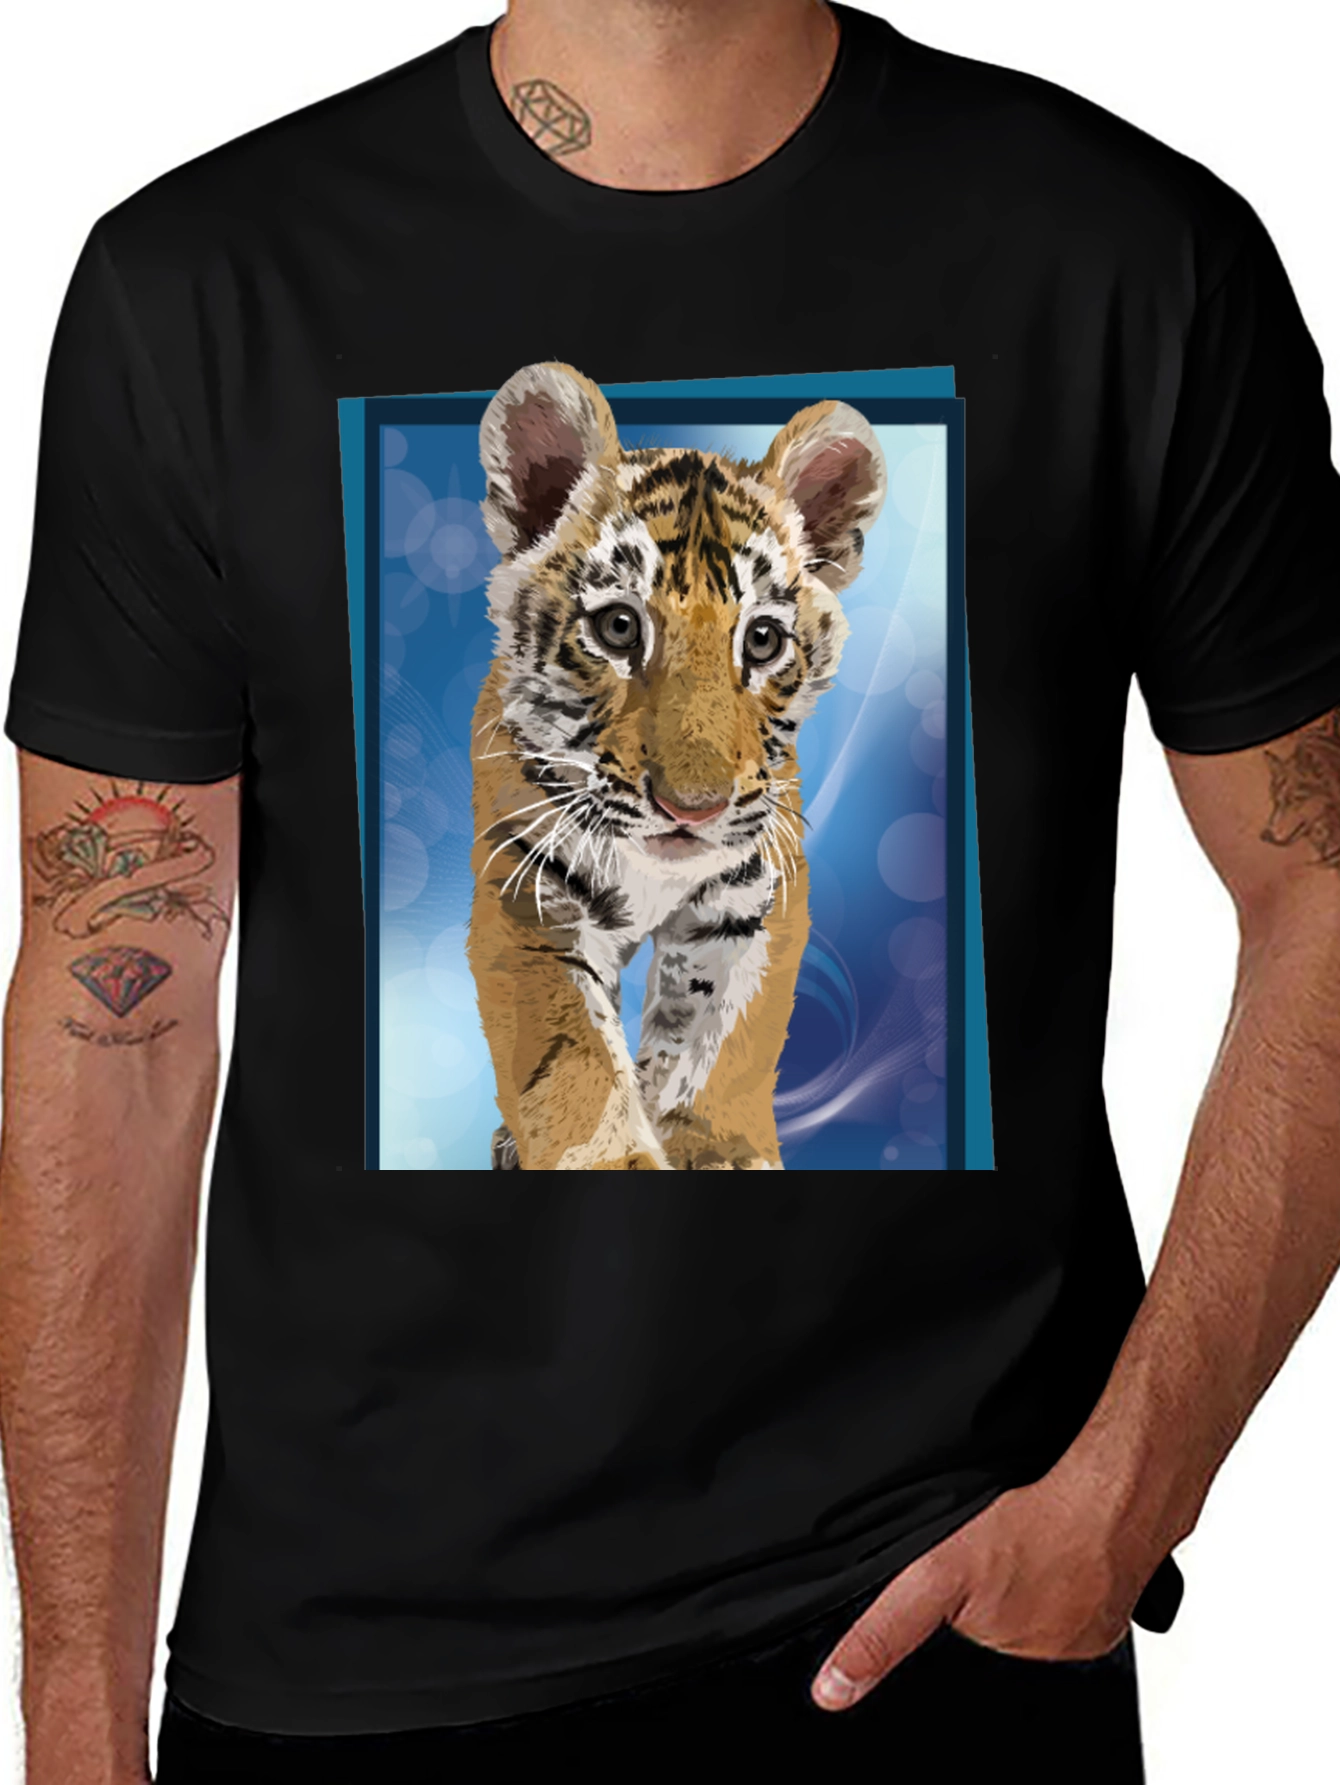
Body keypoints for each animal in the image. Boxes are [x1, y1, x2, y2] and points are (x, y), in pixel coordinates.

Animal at [466, 363, 886, 1171]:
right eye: (618, 627)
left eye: (762, 640)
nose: (693, 808)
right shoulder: (530, 901)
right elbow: (574, 1058)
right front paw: (613, 1160)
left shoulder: (752, 899)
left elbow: (716, 1041)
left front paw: (715, 1149)